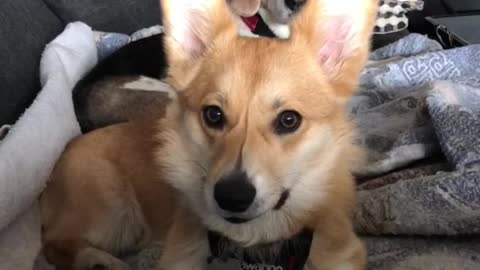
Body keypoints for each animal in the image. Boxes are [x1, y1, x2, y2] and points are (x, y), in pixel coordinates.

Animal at [40, 0, 378, 270]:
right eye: (213, 115)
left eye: (288, 120)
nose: (232, 197)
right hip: (113, 206)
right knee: (56, 245)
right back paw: (99, 261)